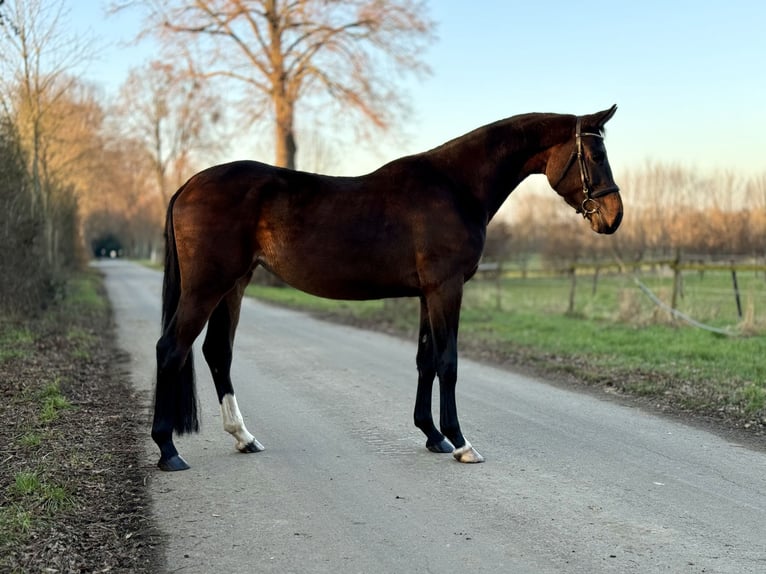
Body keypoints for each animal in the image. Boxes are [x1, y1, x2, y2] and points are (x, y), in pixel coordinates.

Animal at [154, 106, 624, 470]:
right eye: (594, 154)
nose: (613, 216)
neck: (455, 186)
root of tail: (188, 185)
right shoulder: (446, 289)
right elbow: (448, 363)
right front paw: (461, 443)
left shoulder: (427, 294)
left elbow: (425, 360)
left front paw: (433, 435)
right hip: (207, 287)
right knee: (171, 349)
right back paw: (168, 450)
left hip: (234, 285)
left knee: (217, 352)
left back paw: (243, 437)